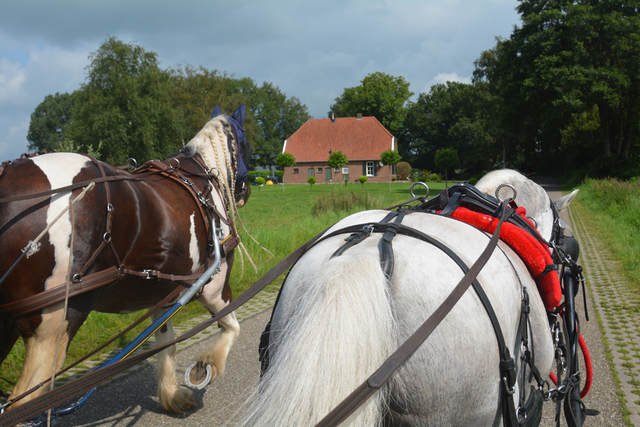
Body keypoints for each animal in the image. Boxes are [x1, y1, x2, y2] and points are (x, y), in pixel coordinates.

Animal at [0, 105, 252, 412]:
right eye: (246, 145)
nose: (245, 192)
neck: (203, 177)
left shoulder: (164, 292)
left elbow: (166, 341)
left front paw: (171, 394)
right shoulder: (214, 287)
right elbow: (232, 327)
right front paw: (207, 366)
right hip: (54, 326)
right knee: (23, 402)